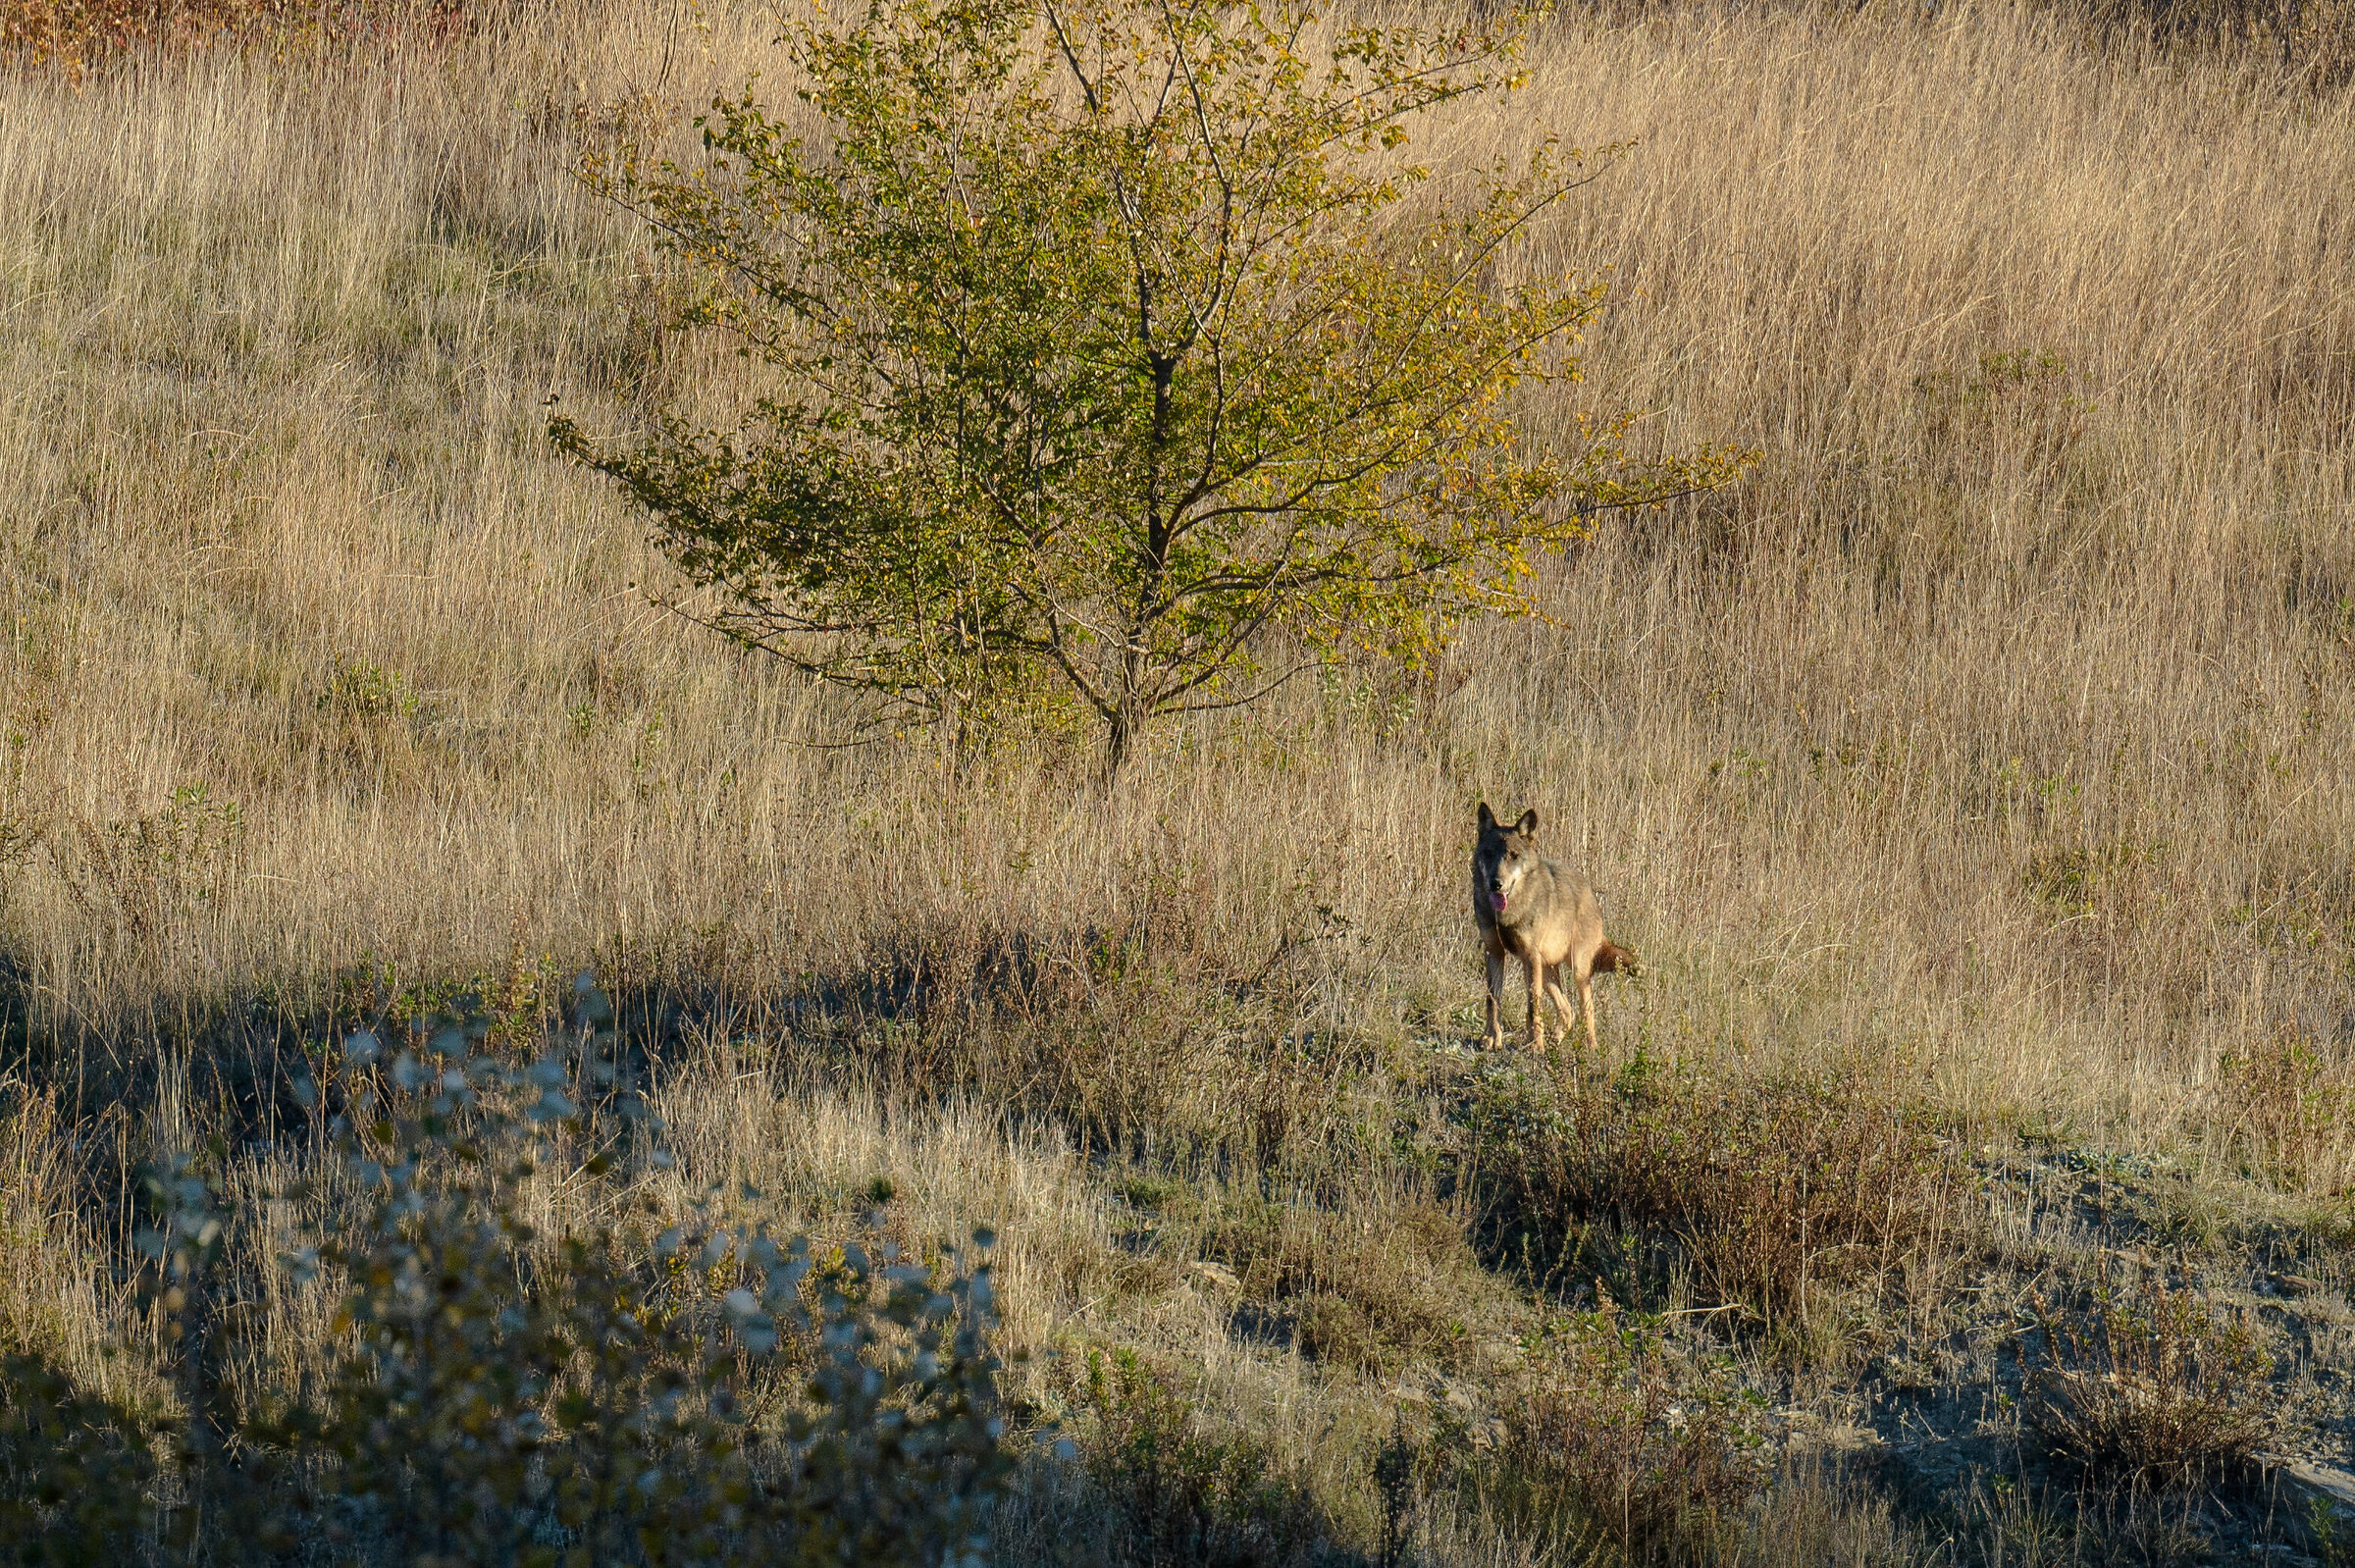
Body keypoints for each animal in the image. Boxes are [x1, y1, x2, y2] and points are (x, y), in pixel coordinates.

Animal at [1472, 803, 1637, 1055]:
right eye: (1489, 854)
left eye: (1513, 856)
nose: (1495, 884)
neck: (1506, 915)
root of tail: (1590, 892)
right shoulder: (1494, 952)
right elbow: (1492, 999)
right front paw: (1490, 1039)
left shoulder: (1529, 957)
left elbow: (1533, 1006)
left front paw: (1535, 1046)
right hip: (1547, 972)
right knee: (1568, 1011)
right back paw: (1555, 1039)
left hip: (1576, 970)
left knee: (1587, 1009)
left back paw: (1590, 1047)